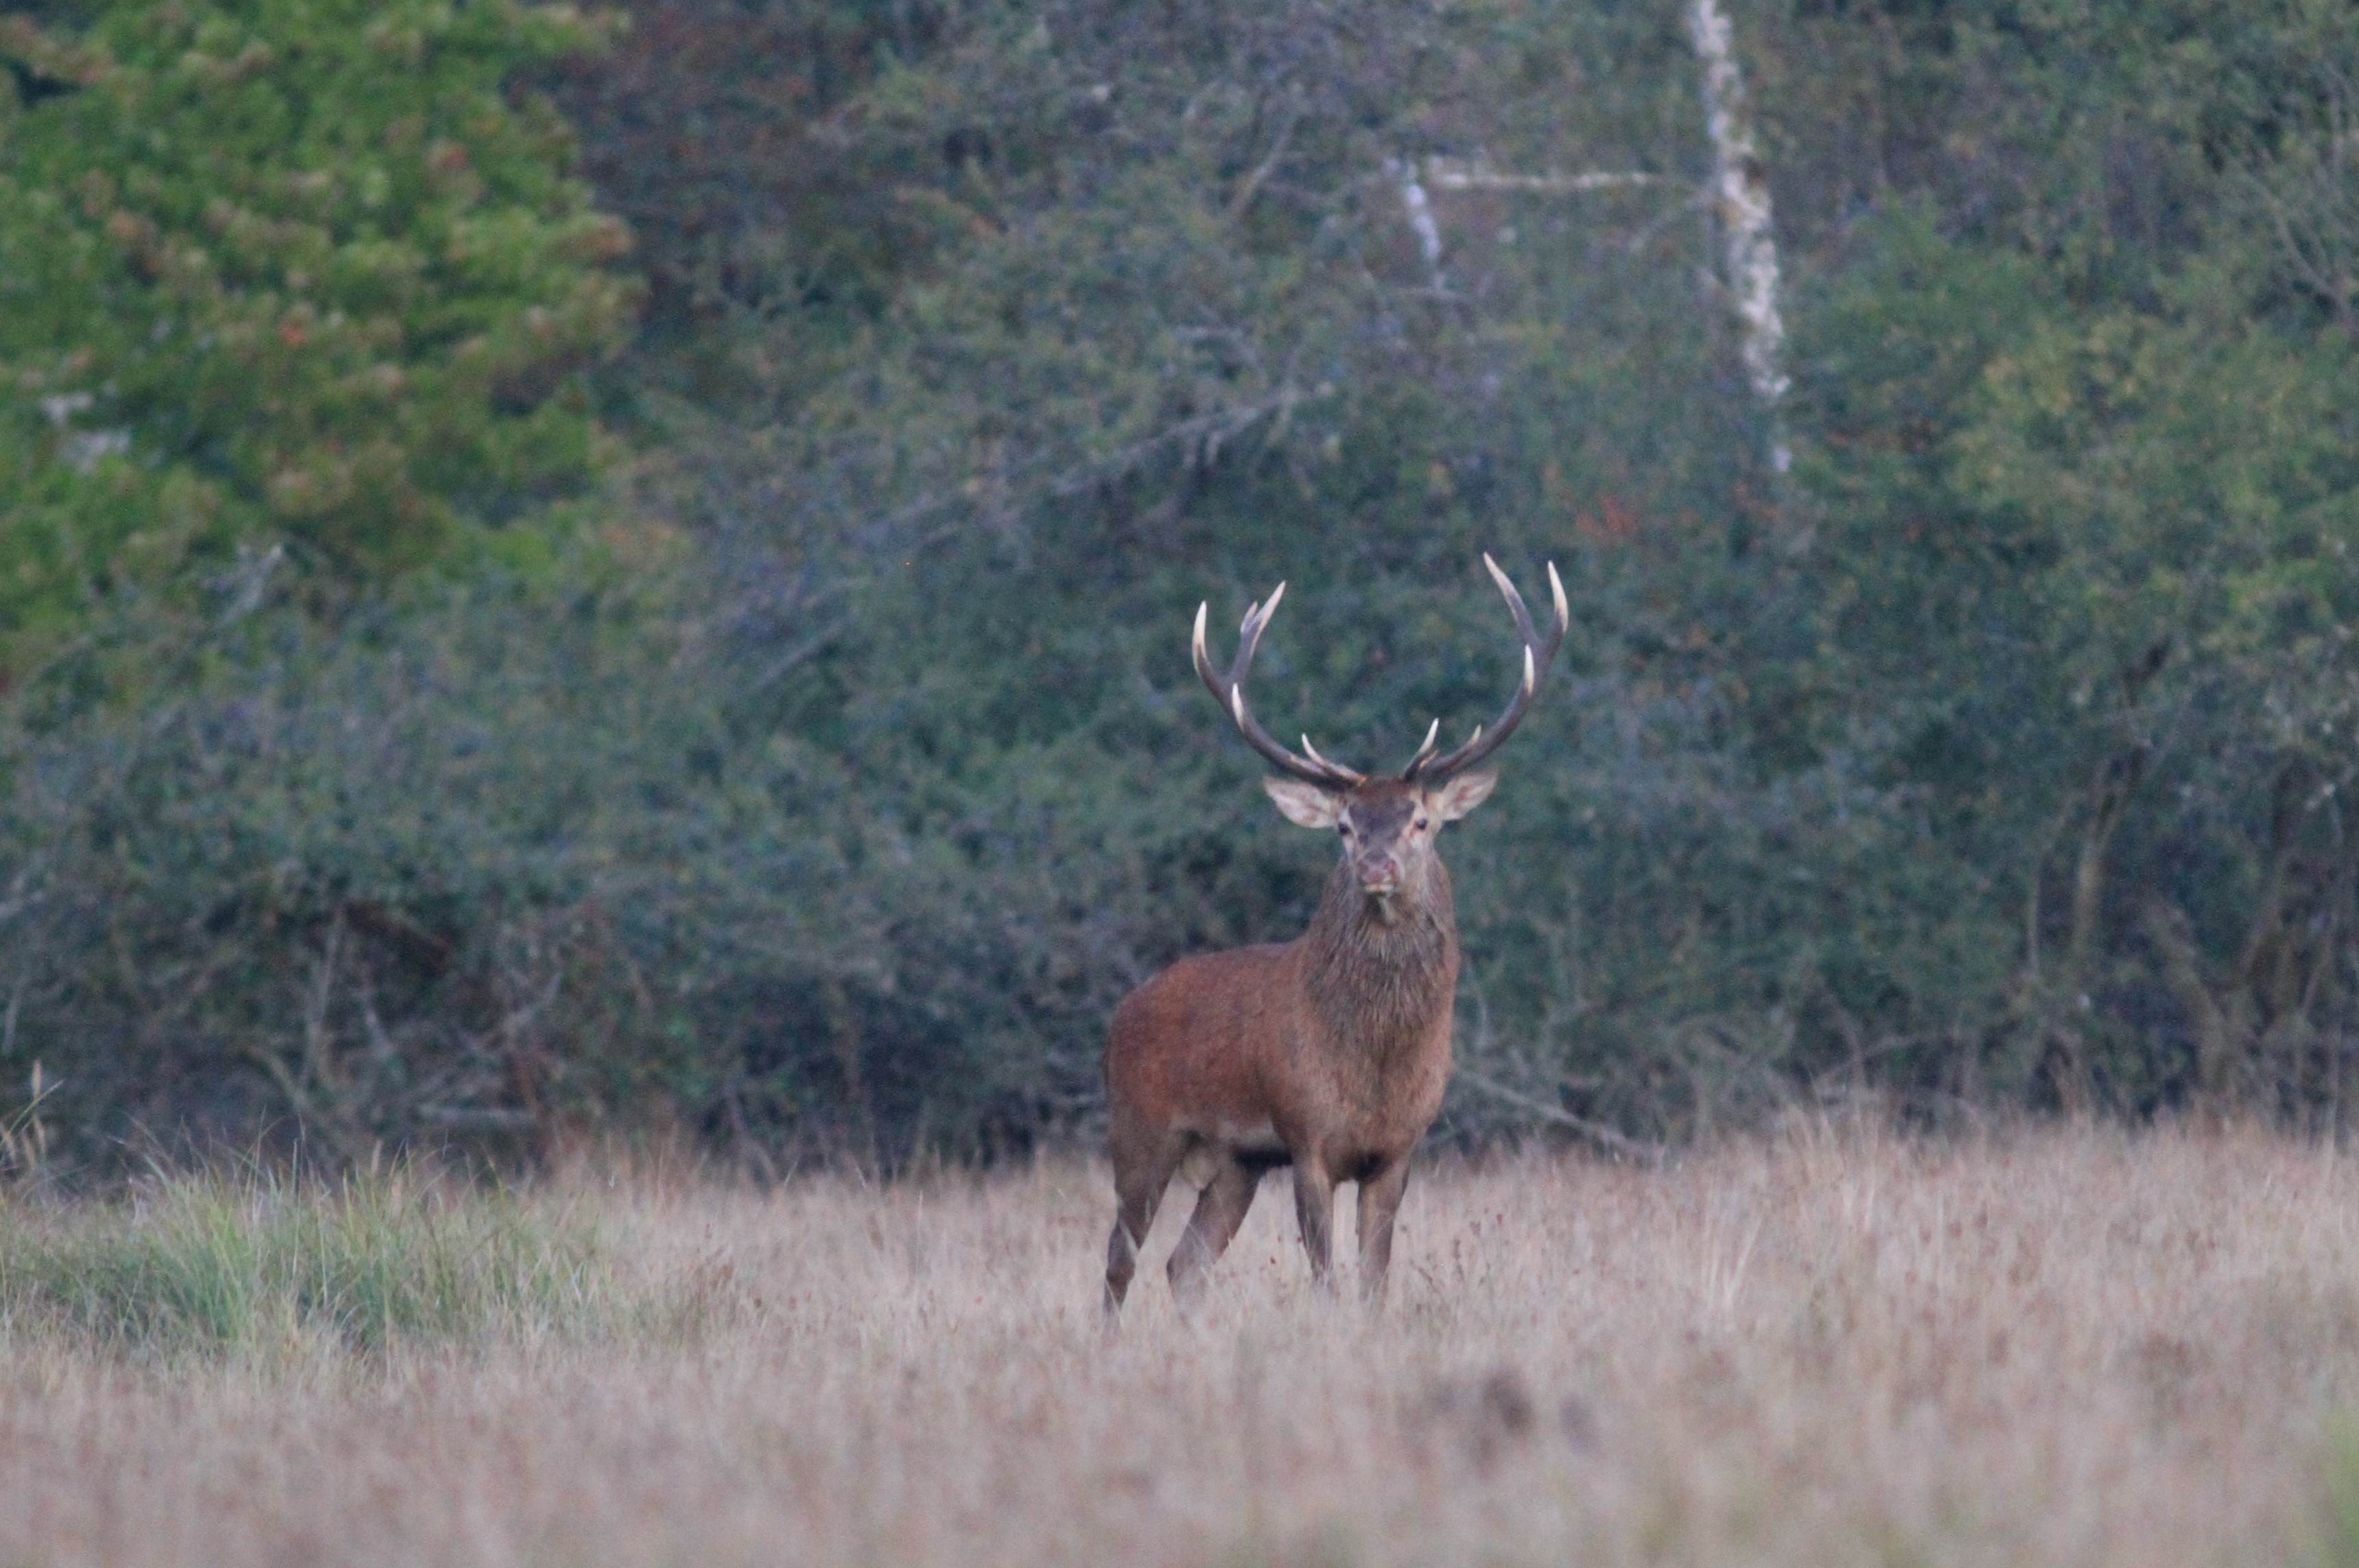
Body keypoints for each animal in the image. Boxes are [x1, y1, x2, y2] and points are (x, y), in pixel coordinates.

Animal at [1102, 554, 1567, 1317]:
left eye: (1420, 821)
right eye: (1345, 826)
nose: (1376, 865)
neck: (1375, 1062)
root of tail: (1119, 1014)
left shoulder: (1398, 1149)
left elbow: (1374, 1278)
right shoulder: (1307, 1136)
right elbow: (1325, 1277)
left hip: (1234, 1162)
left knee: (1184, 1263)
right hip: (1138, 1131)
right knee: (1120, 1262)